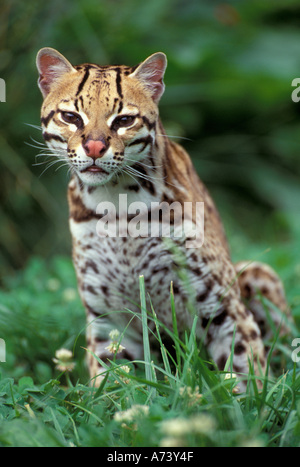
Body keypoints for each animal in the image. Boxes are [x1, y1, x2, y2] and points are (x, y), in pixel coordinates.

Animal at [35, 48, 290, 392]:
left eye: (124, 120)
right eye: (71, 117)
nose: (94, 147)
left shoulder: (224, 309)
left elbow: (243, 377)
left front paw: (248, 403)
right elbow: (113, 389)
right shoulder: (107, 320)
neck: (117, 203)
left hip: (256, 273)